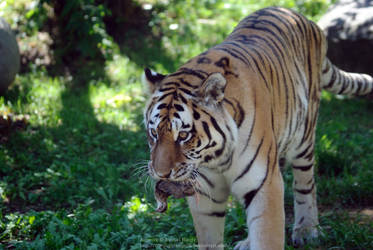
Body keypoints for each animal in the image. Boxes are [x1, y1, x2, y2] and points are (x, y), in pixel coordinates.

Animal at [141, 6, 370, 250]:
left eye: (184, 135)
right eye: (154, 133)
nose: (160, 173)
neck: (216, 159)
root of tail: (302, 17)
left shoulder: (264, 185)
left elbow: (268, 236)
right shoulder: (206, 196)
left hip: (304, 137)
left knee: (305, 183)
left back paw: (307, 230)